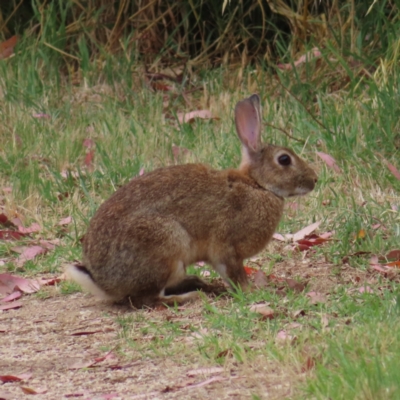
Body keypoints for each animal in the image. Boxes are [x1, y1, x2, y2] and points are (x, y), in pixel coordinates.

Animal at [66, 94, 318, 306]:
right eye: (284, 160)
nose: (314, 180)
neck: (257, 184)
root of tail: (104, 284)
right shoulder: (227, 248)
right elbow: (234, 273)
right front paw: (250, 292)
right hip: (166, 245)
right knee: (149, 298)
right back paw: (190, 295)